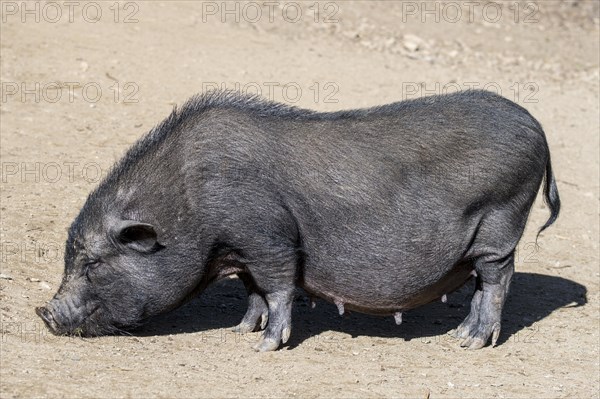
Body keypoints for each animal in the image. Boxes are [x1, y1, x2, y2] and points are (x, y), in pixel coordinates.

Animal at [37, 89, 560, 352]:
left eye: (92, 263)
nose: (45, 313)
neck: (189, 203)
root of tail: (538, 126)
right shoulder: (244, 249)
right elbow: (252, 290)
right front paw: (240, 332)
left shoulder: (269, 236)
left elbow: (278, 287)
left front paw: (264, 348)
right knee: (481, 285)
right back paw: (459, 335)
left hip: (501, 222)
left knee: (497, 280)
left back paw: (472, 344)